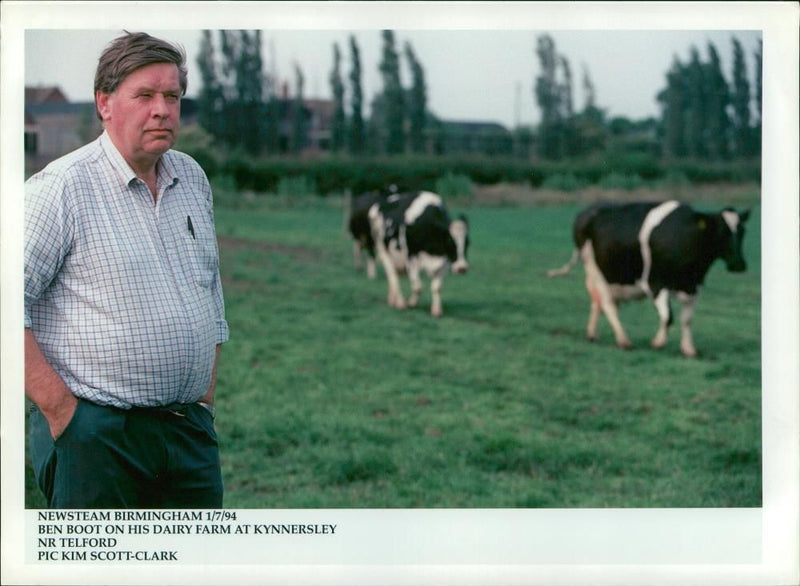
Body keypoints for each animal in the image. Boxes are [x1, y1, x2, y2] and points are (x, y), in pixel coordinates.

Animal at [548, 201, 752, 356]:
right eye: (721, 232)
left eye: (742, 231)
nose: (739, 265)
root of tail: (588, 210)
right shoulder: (655, 283)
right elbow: (668, 316)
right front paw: (658, 342)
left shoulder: (694, 286)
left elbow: (687, 319)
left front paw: (689, 349)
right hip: (595, 270)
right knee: (608, 305)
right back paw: (624, 341)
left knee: (597, 302)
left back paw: (592, 334)